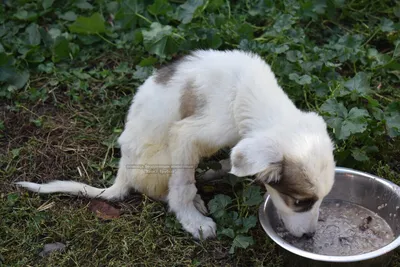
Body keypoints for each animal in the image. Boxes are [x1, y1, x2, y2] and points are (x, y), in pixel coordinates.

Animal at [14, 49, 334, 241]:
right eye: (300, 202)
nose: (309, 237)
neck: (248, 97)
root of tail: (123, 171)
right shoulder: (187, 135)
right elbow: (181, 188)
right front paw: (193, 222)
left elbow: (225, 163)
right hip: (163, 158)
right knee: (165, 190)